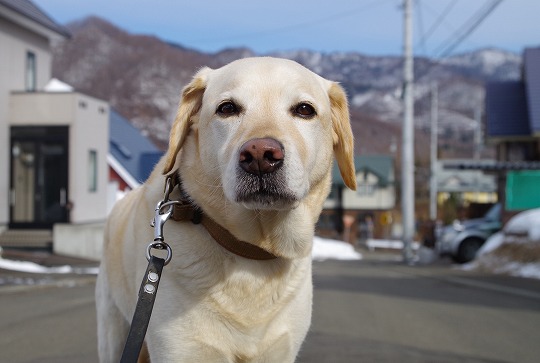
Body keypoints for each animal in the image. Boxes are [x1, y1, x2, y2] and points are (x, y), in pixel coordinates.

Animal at [96, 57, 358, 363]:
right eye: (227, 108)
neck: (252, 251)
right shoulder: (182, 349)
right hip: (115, 332)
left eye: (305, 109)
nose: (260, 155)